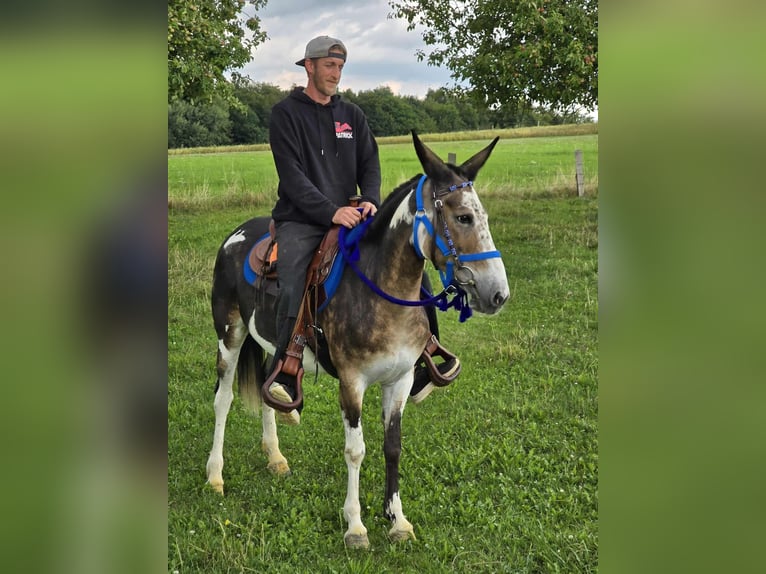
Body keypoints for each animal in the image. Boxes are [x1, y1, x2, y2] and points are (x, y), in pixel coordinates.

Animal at [205, 131, 510, 548]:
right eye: (463, 217)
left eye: (484, 218)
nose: (498, 294)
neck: (381, 290)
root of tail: (234, 237)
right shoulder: (352, 382)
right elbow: (355, 450)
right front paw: (355, 526)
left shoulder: (400, 380)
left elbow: (392, 446)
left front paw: (397, 519)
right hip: (230, 335)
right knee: (223, 399)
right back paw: (215, 474)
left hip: (272, 343)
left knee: (269, 384)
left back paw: (276, 455)